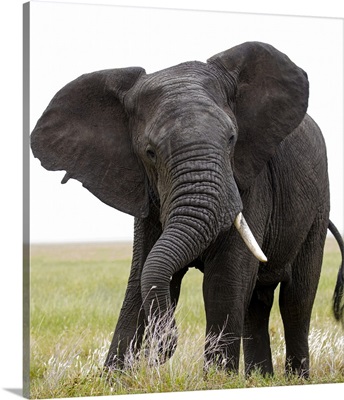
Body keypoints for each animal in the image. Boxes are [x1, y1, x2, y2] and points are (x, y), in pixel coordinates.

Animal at [30, 41, 344, 378]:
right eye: (150, 152)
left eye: (232, 138)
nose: (161, 348)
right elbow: (142, 275)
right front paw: (112, 380)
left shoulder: (248, 179)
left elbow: (225, 280)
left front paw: (217, 380)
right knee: (257, 302)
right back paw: (259, 378)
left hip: (318, 205)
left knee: (296, 299)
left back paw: (294, 377)